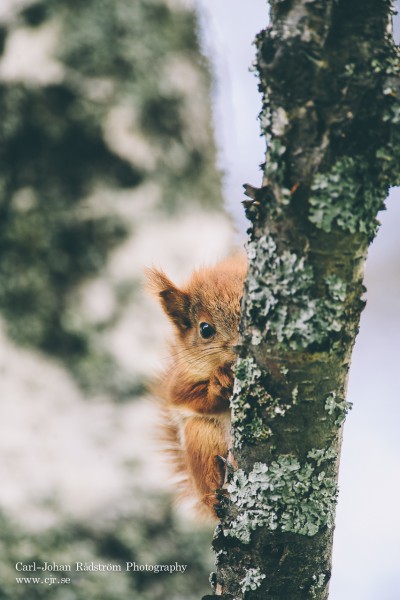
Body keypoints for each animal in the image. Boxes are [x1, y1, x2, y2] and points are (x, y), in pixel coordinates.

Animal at [147, 253, 247, 516]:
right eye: (205, 329)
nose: (238, 346)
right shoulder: (181, 380)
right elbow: (182, 396)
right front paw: (219, 384)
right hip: (201, 438)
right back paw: (213, 499)